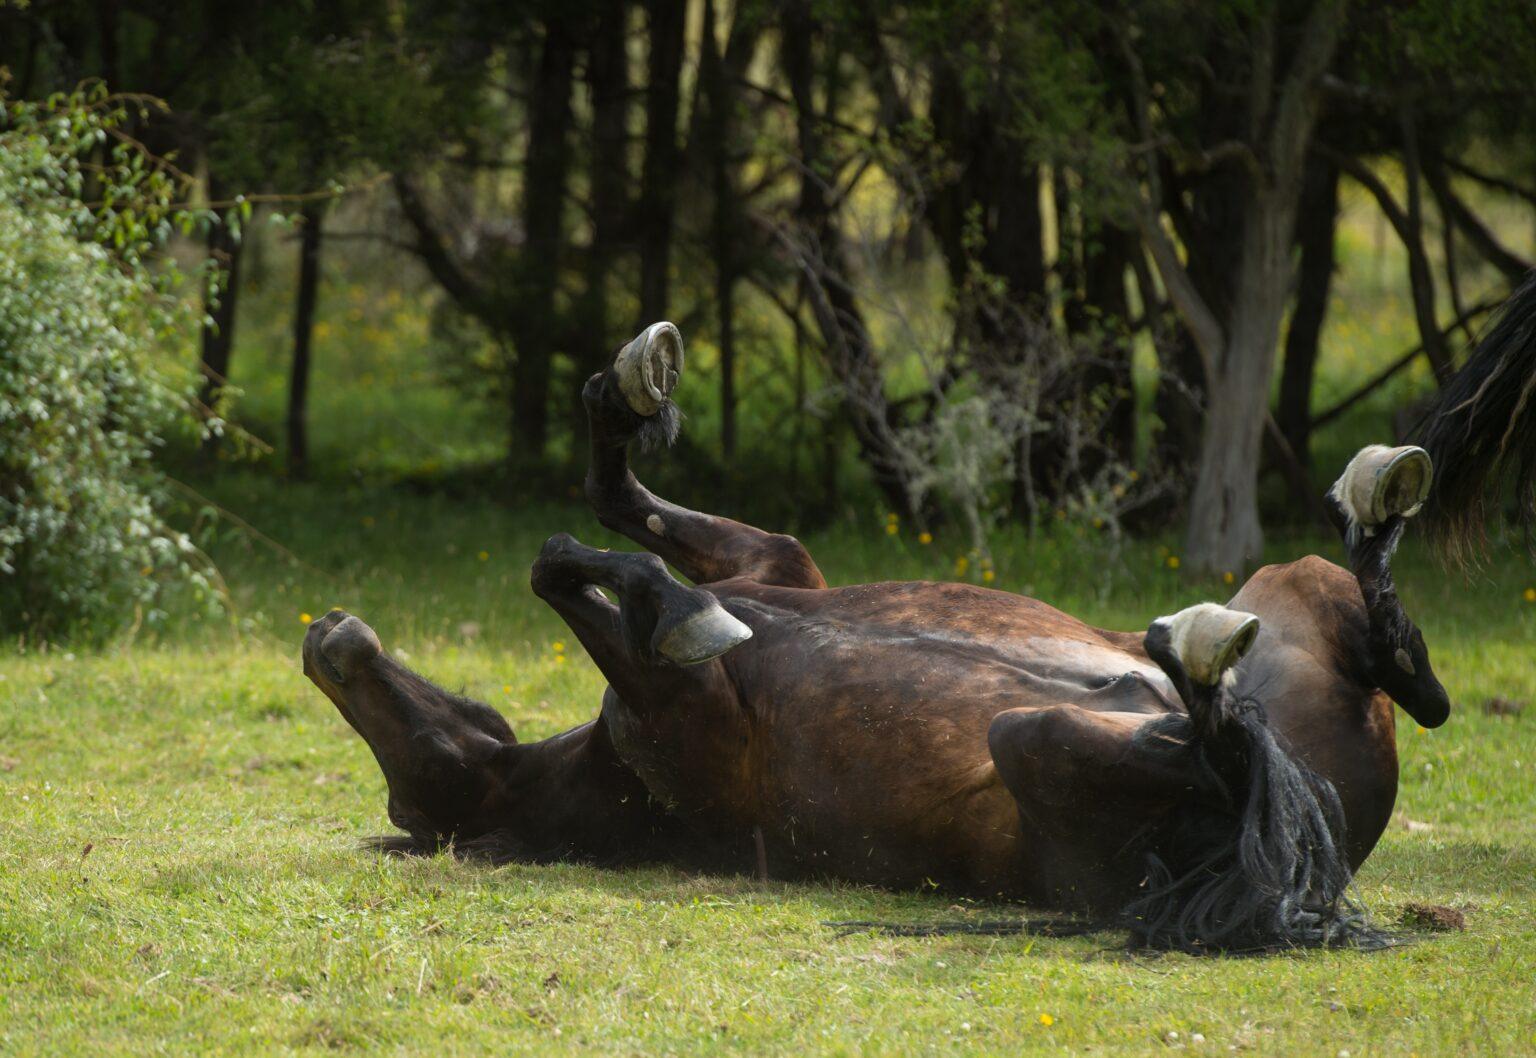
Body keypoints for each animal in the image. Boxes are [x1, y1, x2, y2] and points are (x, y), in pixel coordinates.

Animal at [302, 273, 1536, 952]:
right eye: (418, 786)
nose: (328, 638)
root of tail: (1331, 848)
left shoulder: (781, 569)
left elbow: (598, 526)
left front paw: (630, 390)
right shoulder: (681, 708)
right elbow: (590, 579)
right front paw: (677, 604)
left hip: (1289, 590)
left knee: (1406, 672)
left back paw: (1360, 517)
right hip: (1042, 743)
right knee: (1234, 755)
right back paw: (1195, 668)